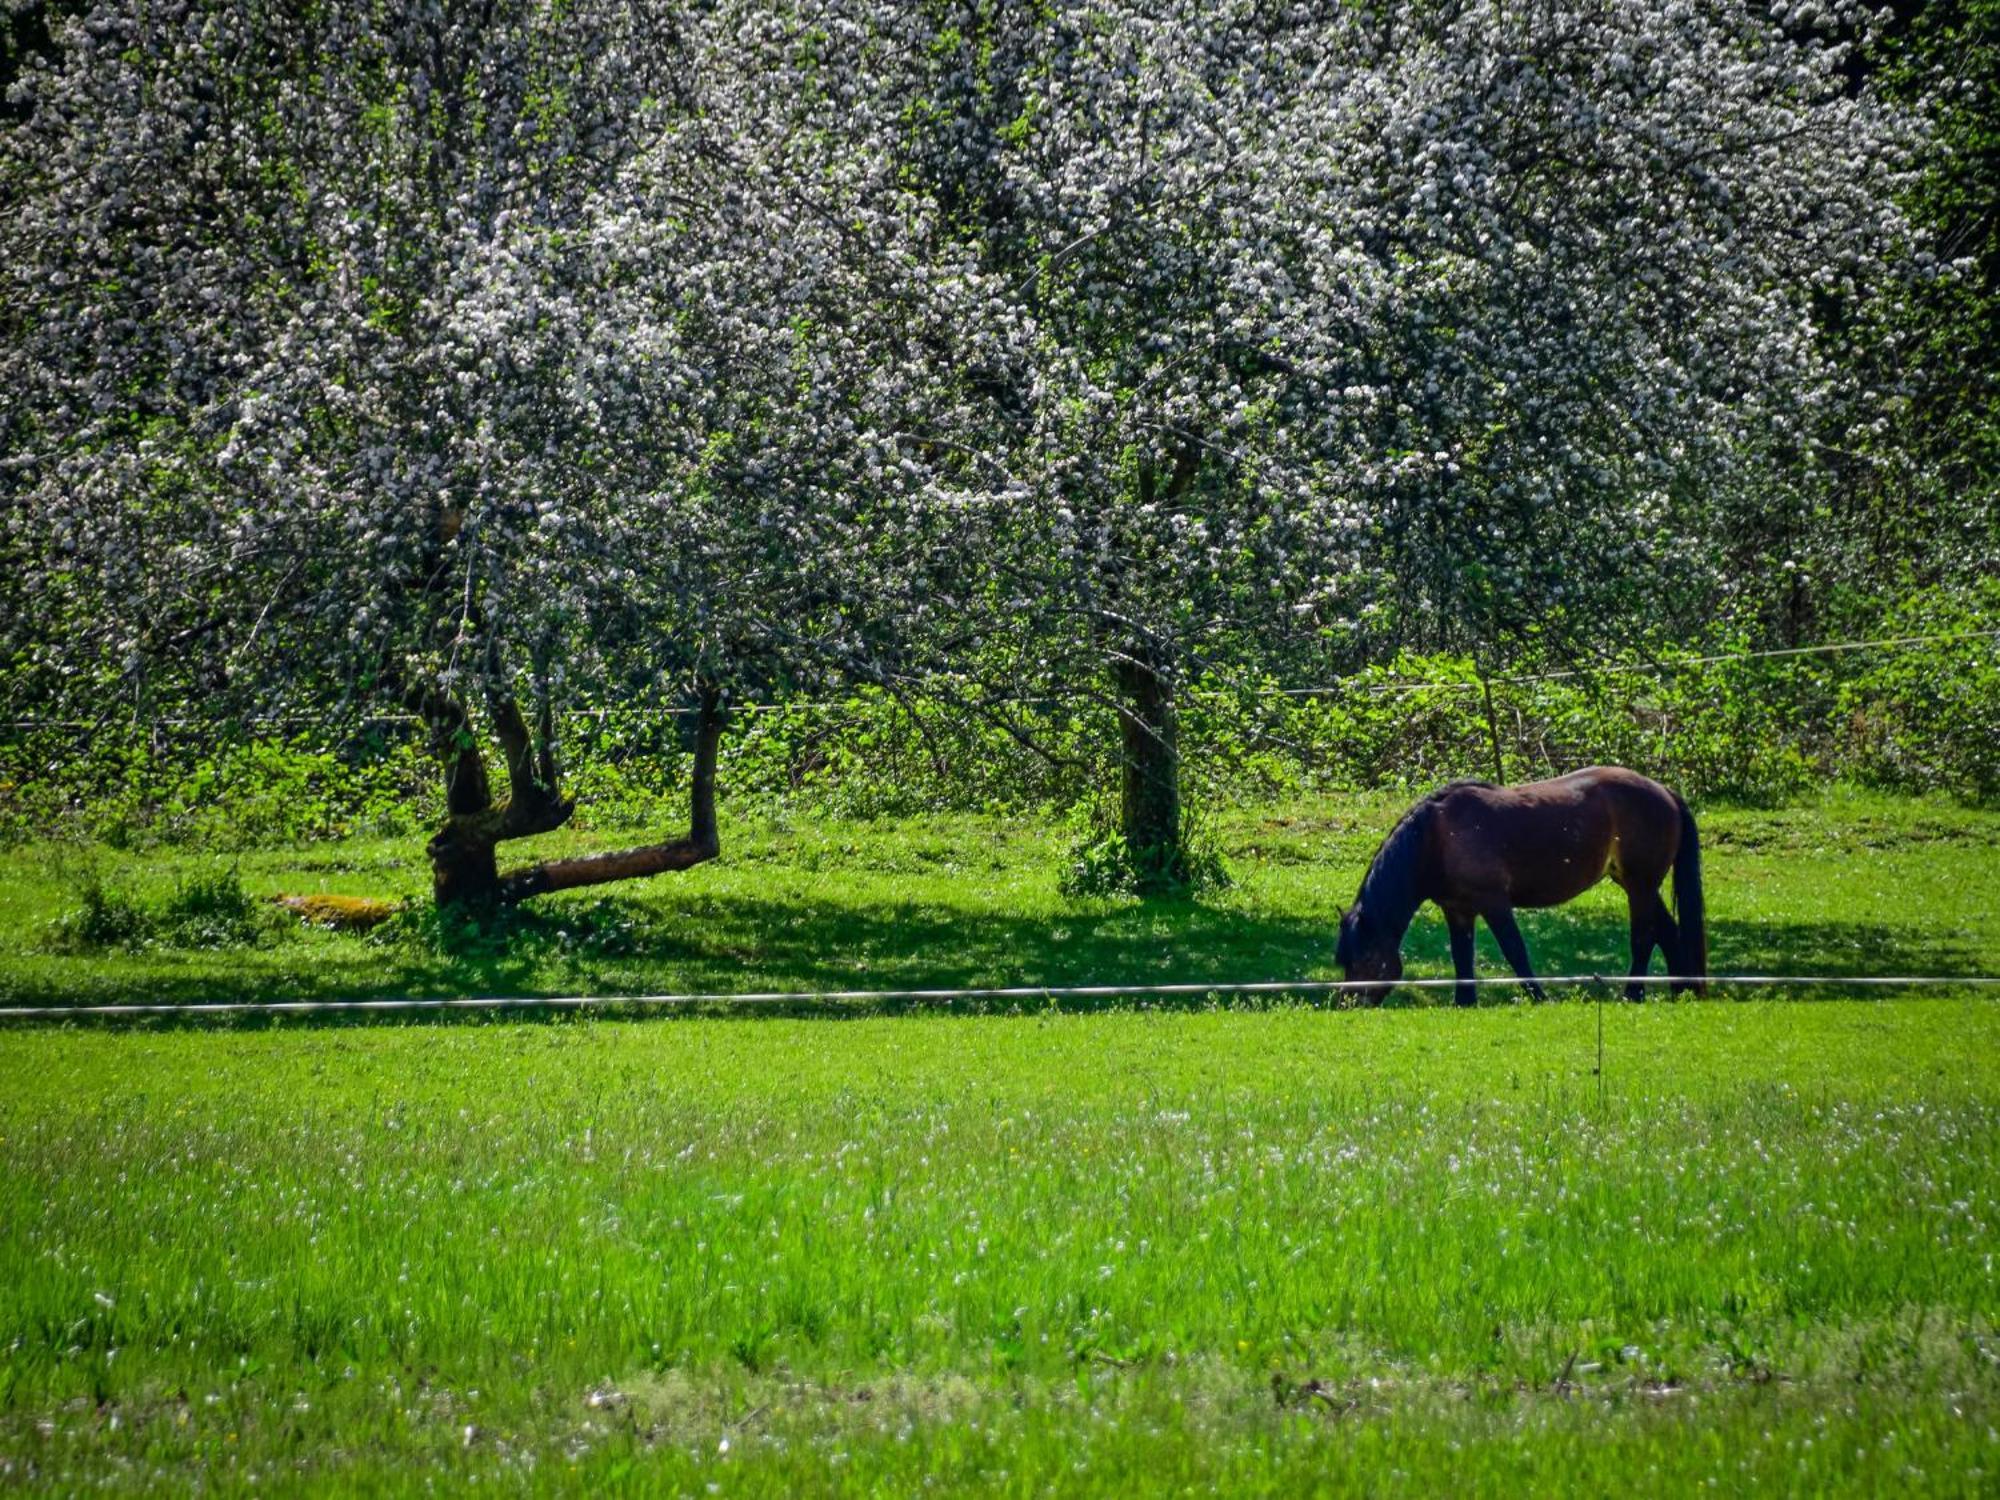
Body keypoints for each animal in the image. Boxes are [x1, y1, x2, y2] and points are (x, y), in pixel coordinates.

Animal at [1344, 768, 1704, 1004]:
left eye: (1365, 959)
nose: (1348, 1004)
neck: (1436, 838)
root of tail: (1665, 792)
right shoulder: (1458, 910)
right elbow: (1462, 956)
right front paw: (1464, 1001)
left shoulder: (1494, 903)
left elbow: (1514, 949)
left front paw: (1538, 995)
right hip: (1636, 884)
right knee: (1667, 932)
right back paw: (1681, 990)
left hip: (1641, 885)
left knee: (1644, 937)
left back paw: (1633, 993)